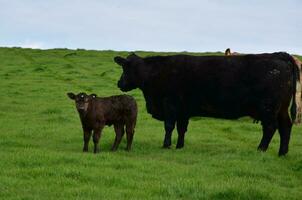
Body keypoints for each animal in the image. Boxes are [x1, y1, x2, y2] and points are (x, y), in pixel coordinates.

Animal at [114, 52, 298, 155]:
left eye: (125, 68)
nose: (119, 83)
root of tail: (279, 55)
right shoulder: (183, 110)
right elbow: (181, 129)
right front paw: (179, 146)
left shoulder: (170, 105)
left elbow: (169, 126)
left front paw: (166, 145)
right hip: (281, 109)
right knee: (285, 127)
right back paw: (282, 152)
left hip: (268, 108)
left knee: (270, 128)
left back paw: (261, 149)